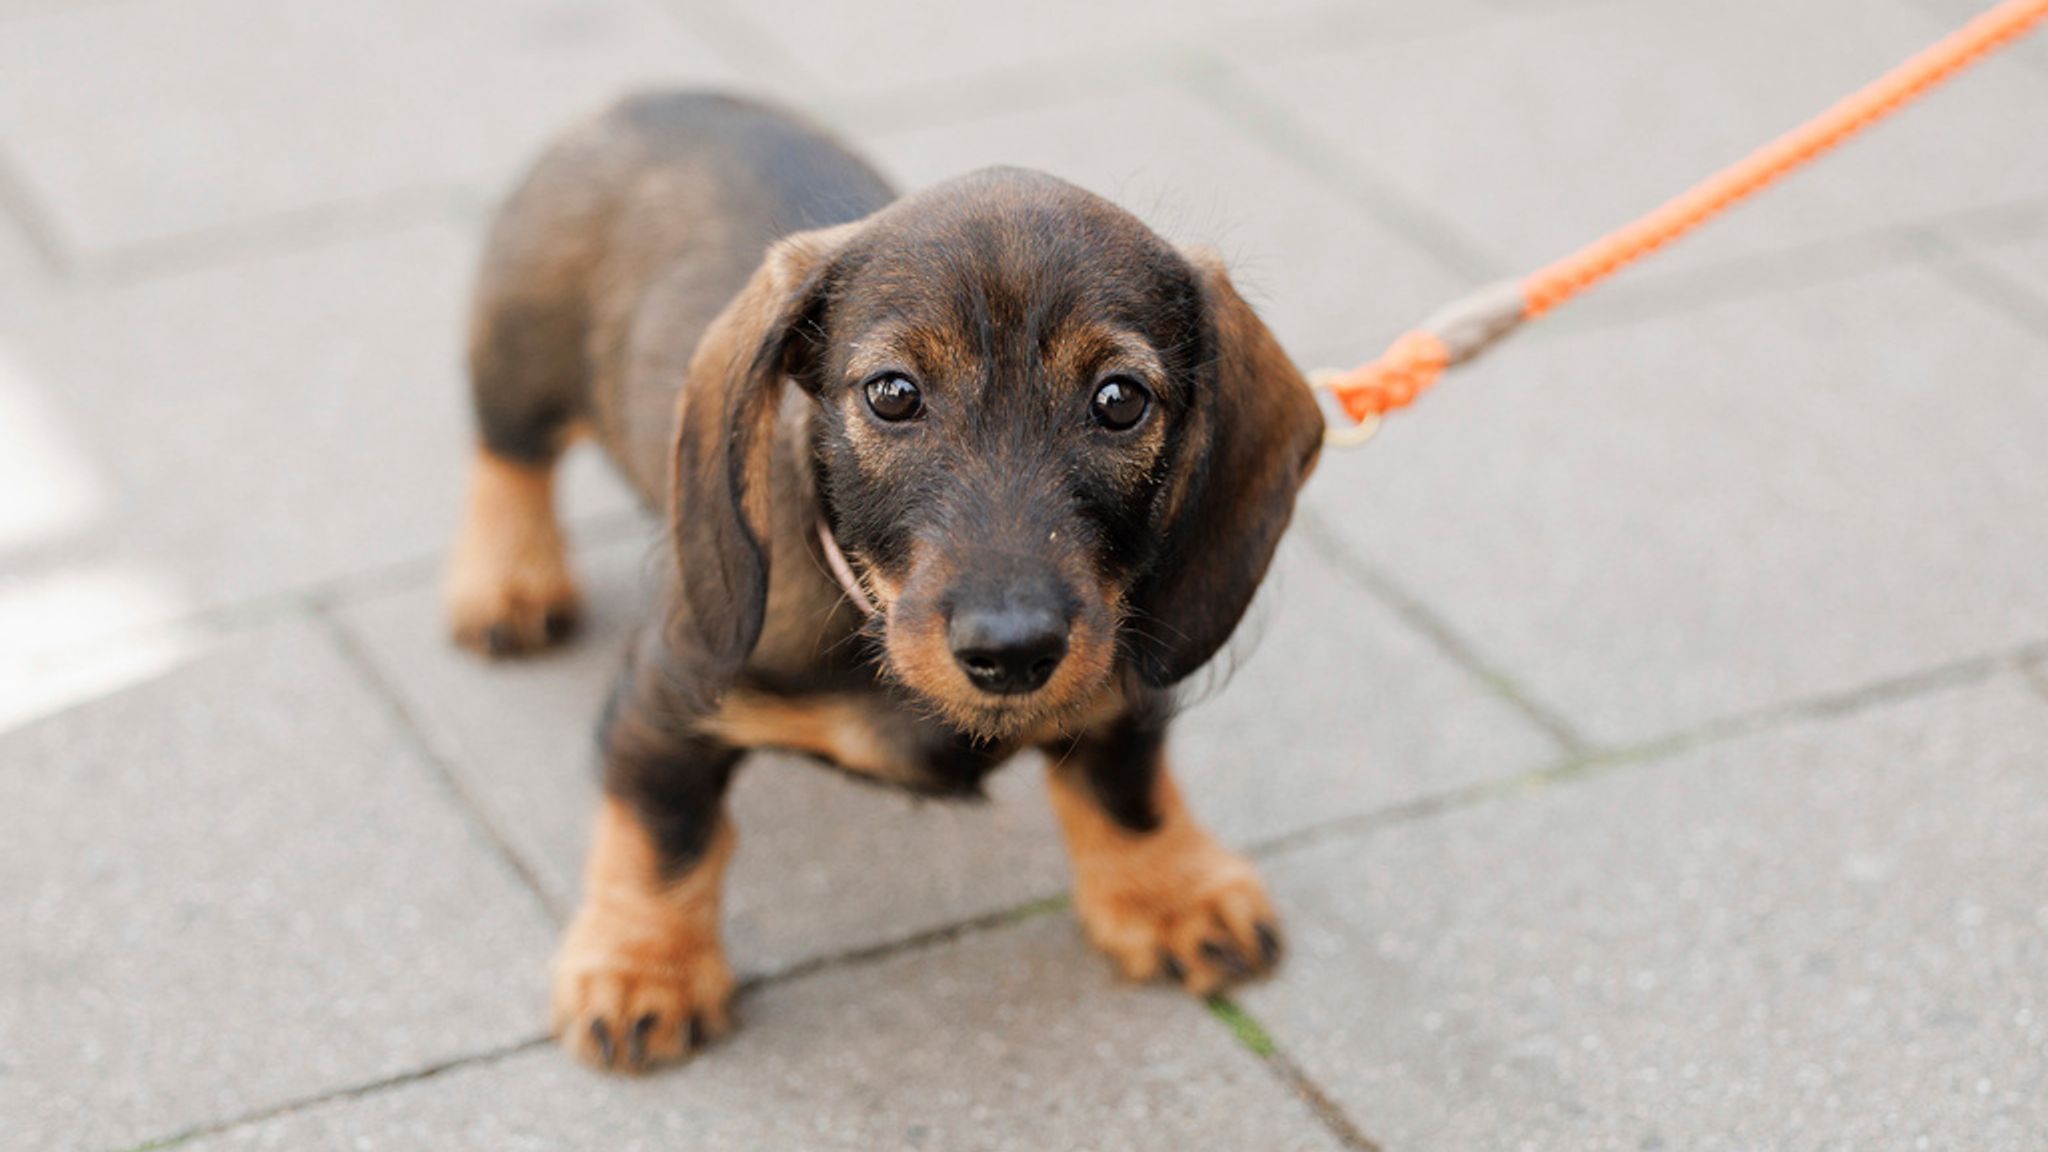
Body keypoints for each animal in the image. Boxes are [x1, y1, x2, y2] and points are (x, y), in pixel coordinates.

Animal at [440, 89, 1318, 1065]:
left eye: (1120, 401)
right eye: (893, 393)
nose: (1012, 650)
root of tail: (653, 98)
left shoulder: (1119, 673)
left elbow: (1128, 788)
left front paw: (1171, 891)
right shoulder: (664, 700)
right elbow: (664, 835)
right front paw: (642, 968)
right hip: (520, 359)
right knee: (507, 458)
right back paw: (508, 579)